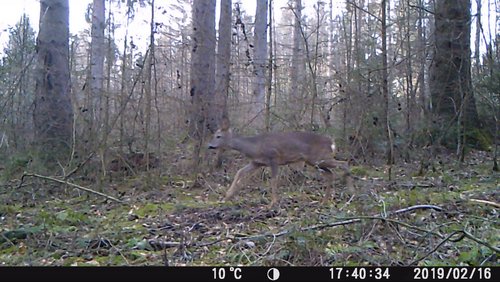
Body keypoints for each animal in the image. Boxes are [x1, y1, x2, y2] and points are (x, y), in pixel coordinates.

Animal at [207, 119, 352, 207]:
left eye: (218, 136)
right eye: (214, 135)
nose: (209, 146)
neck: (254, 147)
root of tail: (332, 142)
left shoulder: (274, 158)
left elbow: (273, 180)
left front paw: (272, 203)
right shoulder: (257, 163)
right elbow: (239, 172)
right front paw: (227, 196)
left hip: (319, 159)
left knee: (344, 164)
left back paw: (349, 188)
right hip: (315, 162)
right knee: (331, 174)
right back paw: (325, 201)